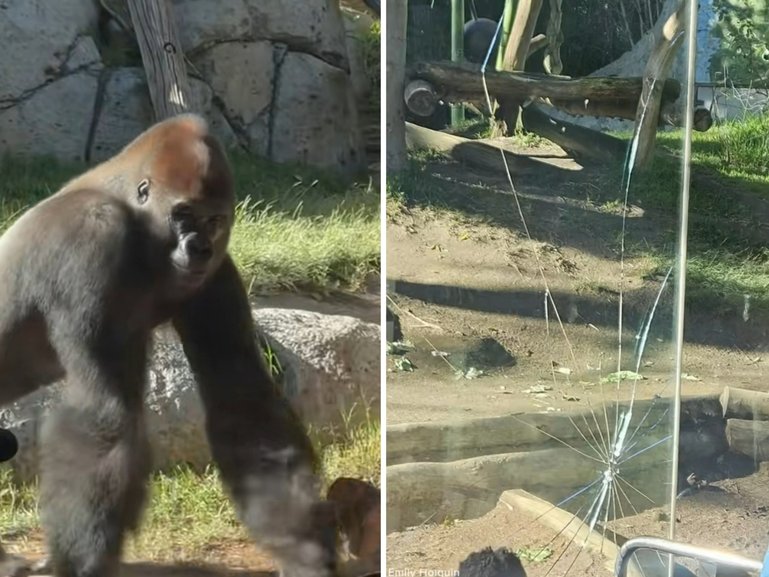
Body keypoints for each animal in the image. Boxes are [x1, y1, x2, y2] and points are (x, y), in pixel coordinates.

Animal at [0, 114, 336, 577]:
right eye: (182, 214)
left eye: (214, 220)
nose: (199, 248)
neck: (132, 213)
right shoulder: (89, 236)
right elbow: (104, 411)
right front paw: (81, 564)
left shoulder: (216, 273)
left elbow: (243, 402)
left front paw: (303, 546)